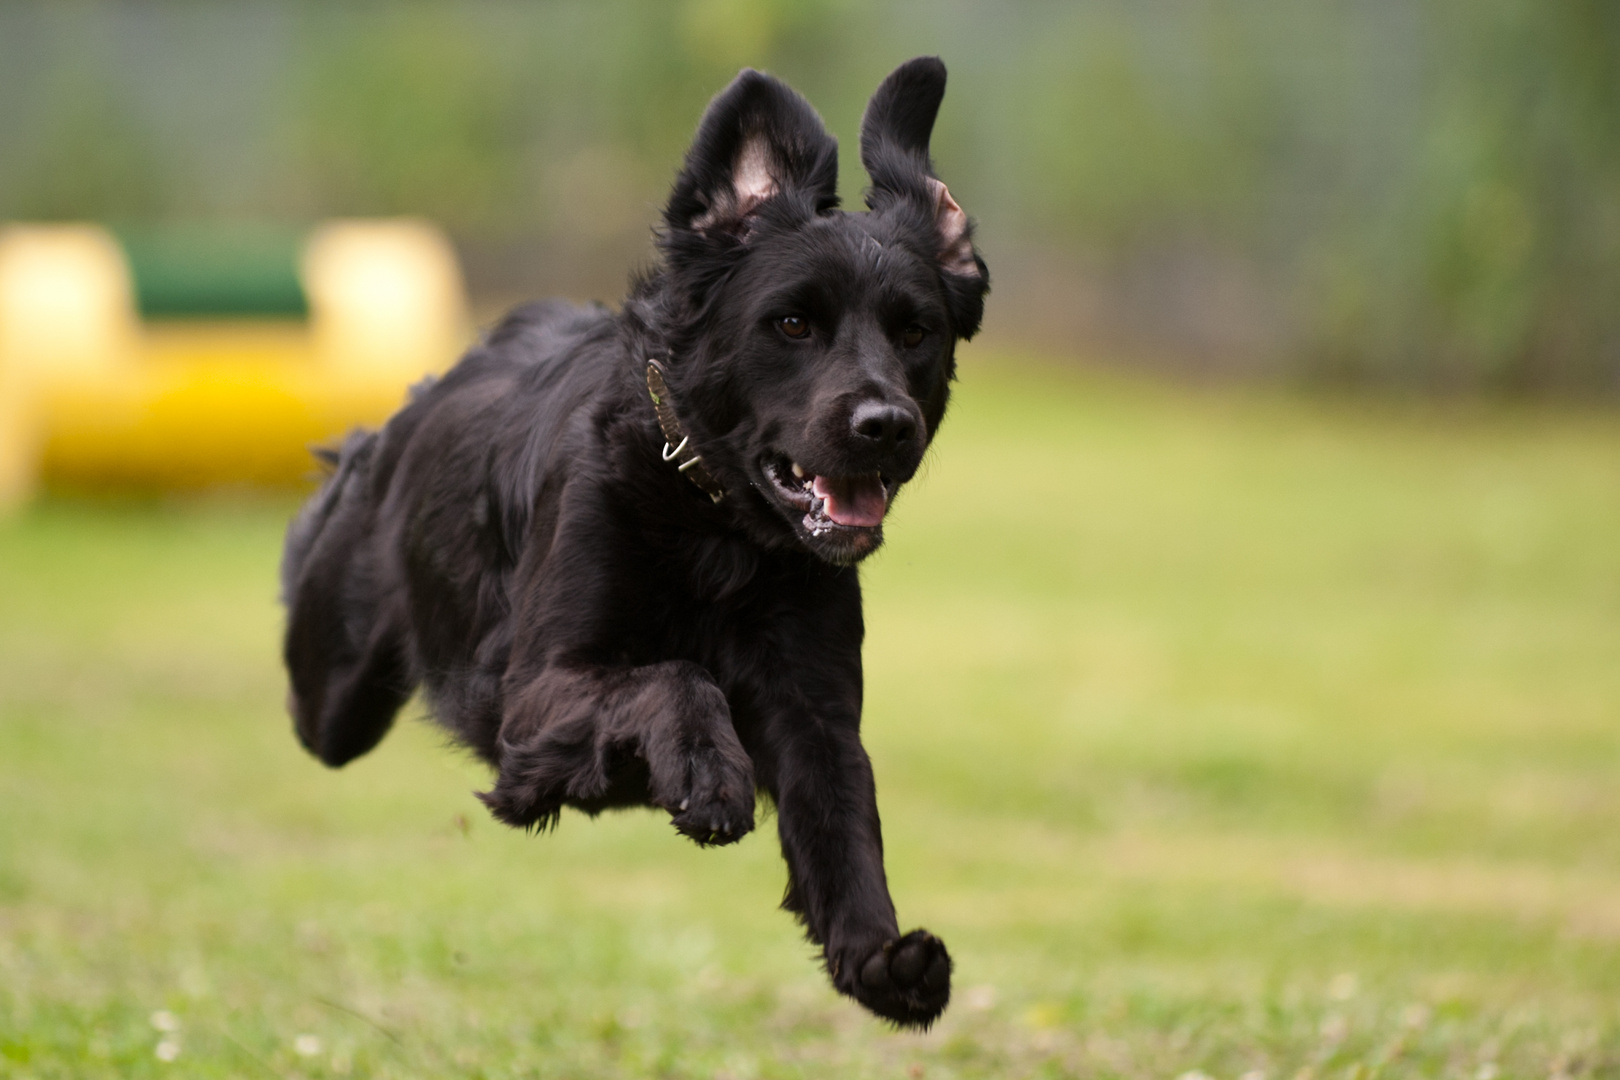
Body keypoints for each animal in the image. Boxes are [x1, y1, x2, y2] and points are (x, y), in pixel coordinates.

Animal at [280, 55, 984, 1029]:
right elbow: (675, 675)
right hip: (336, 691)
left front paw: (880, 960)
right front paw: (709, 774)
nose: (885, 425)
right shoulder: (530, 700)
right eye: (792, 324)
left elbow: (844, 821)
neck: (716, 529)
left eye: (916, 331)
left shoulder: (816, 707)